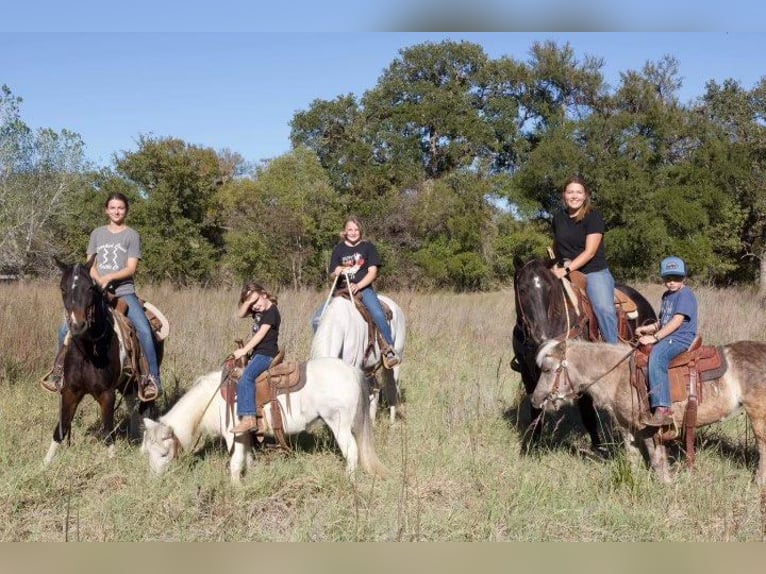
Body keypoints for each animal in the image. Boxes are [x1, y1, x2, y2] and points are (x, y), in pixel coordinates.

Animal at [44, 260, 159, 468]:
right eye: (62, 288)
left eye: (90, 288)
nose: (77, 325)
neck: (88, 351)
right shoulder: (70, 391)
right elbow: (61, 428)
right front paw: (45, 463)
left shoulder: (107, 394)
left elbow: (107, 432)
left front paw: (112, 462)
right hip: (127, 383)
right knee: (132, 406)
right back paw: (134, 436)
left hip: (144, 382)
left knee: (145, 409)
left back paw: (143, 448)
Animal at [141, 358, 388, 484]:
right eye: (147, 452)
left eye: (163, 453)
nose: (155, 481)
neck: (212, 399)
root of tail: (352, 371)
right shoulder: (246, 436)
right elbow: (247, 458)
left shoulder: (235, 435)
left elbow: (235, 462)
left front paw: (236, 488)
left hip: (339, 424)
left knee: (352, 451)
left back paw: (349, 481)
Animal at [512, 258, 656, 456]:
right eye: (522, 289)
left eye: (550, 288)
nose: (541, 336)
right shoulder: (528, 376)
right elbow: (536, 411)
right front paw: (533, 447)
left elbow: (587, 414)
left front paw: (599, 449)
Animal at [532, 340, 766, 488]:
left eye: (546, 369)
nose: (535, 400)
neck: (619, 377)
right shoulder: (627, 427)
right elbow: (633, 457)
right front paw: (637, 479)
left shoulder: (648, 429)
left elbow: (656, 459)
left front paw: (665, 485)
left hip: (757, 414)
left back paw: (758, 482)